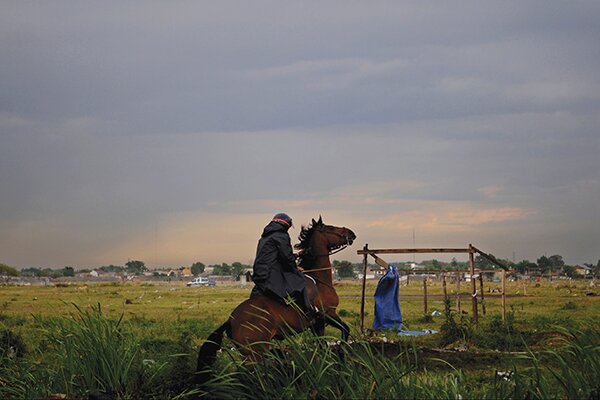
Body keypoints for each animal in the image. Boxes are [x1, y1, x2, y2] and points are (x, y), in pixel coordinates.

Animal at [197, 217, 354, 382]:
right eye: (330, 228)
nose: (351, 233)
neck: (319, 279)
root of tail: (230, 320)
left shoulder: (317, 324)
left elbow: (323, 346)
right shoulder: (328, 314)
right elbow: (345, 330)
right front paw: (342, 357)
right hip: (254, 354)